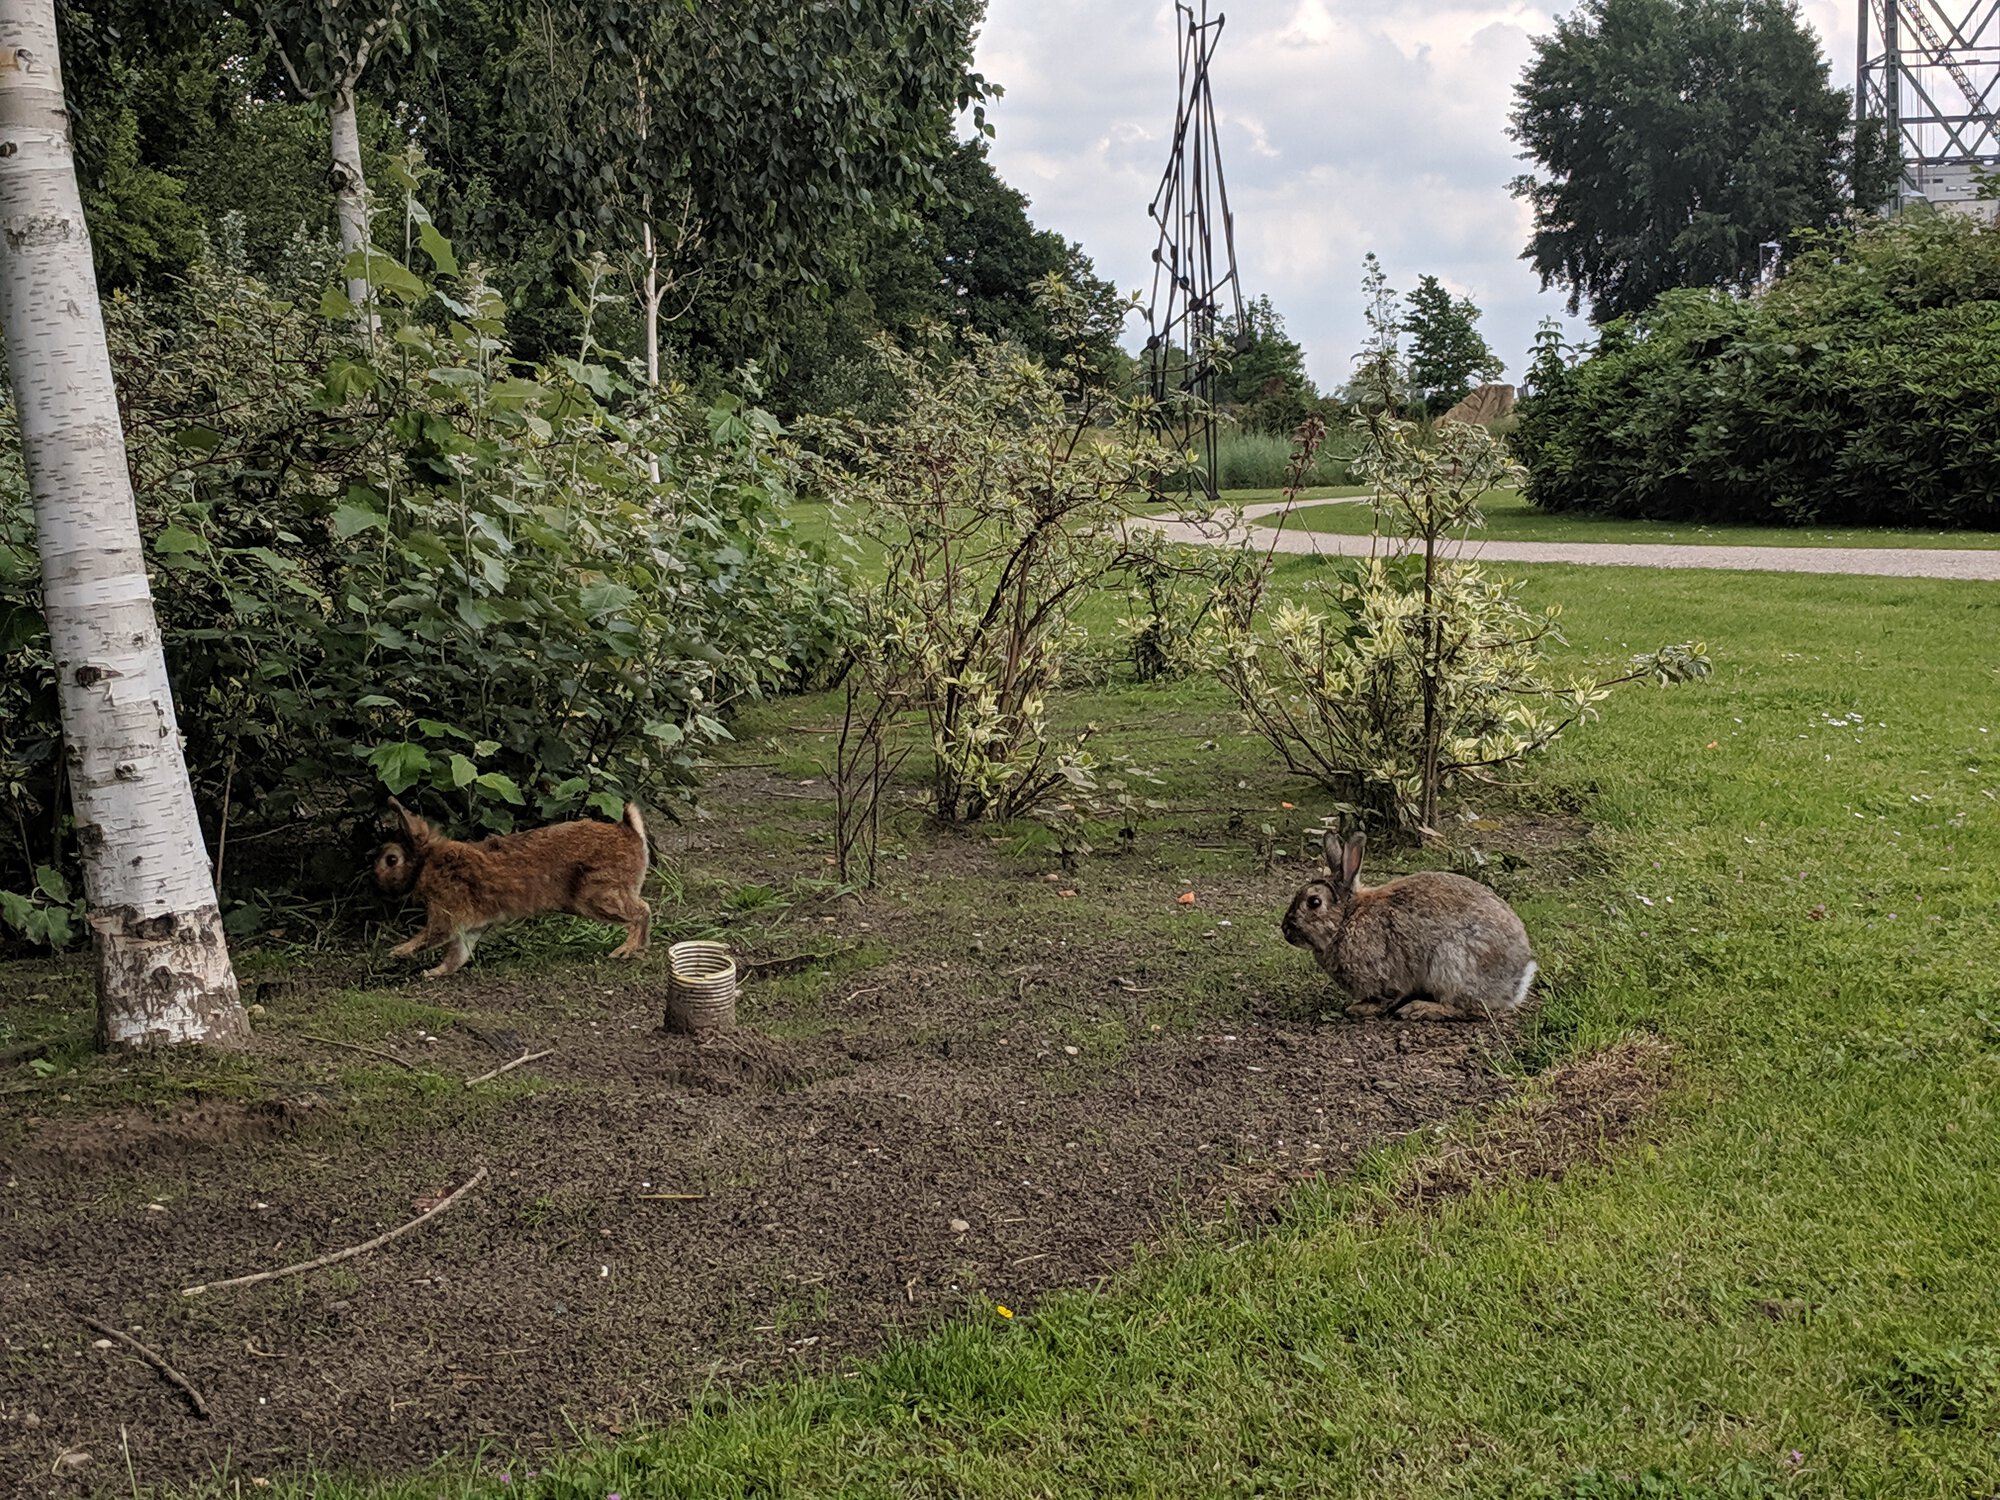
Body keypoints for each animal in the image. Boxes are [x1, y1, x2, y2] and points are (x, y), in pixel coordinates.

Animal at [372, 797, 651, 979]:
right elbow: (458, 955)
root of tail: (629, 832)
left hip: (596, 895)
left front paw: (396, 952)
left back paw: (625, 950)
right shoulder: (471, 927)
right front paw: (433, 973)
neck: (427, 862)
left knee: (642, 911)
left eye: (391, 859)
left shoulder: (448, 912)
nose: (375, 881)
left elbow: (431, 936)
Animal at [1281, 829, 1536, 1021]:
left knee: (1468, 1008)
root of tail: (1517, 980)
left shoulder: (1384, 975)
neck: (1346, 919)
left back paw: (1419, 1009)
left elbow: (1386, 997)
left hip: (1451, 962)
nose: (1285, 930)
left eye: (1314, 902)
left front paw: (1359, 1008)